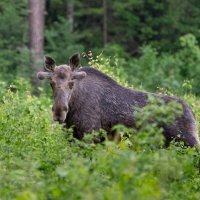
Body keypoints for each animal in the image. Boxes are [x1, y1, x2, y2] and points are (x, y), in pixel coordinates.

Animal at [37, 53, 200, 147]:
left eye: (71, 83)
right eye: (51, 83)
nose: (59, 112)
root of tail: (191, 111)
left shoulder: (90, 134)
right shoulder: (71, 135)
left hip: (188, 141)